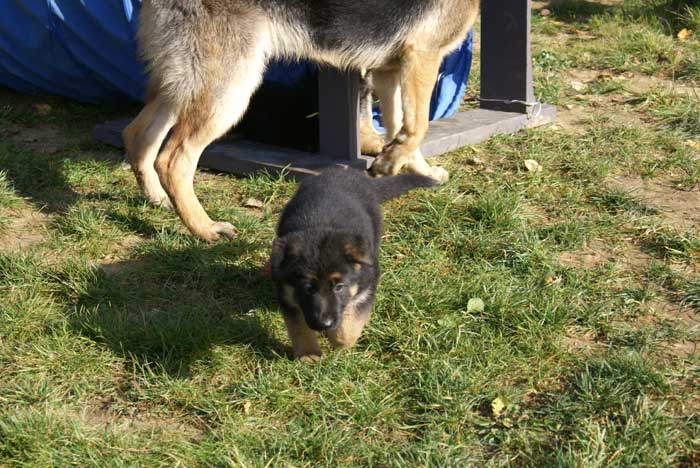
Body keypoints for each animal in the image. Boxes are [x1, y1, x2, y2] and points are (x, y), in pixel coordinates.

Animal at [123, 0, 478, 241]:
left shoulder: (391, 71)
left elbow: (399, 126)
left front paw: (417, 170)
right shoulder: (422, 56)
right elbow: (418, 125)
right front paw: (392, 162)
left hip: (183, 88)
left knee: (136, 134)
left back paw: (156, 197)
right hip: (229, 90)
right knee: (173, 160)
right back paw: (204, 228)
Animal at [270, 167, 434, 362]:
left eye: (339, 287)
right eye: (308, 288)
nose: (324, 324)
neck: (320, 225)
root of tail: (343, 171)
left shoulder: (366, 288)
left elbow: (349, 327)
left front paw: (337, 338)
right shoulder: (287, 294)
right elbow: (298, 327)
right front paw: (308, 353)